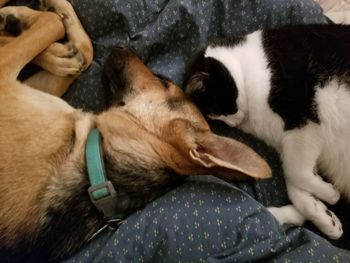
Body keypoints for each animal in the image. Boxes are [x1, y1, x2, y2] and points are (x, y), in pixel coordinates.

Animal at [0, 0, 270, 262]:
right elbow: (84, 53)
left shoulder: (7, 76)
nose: (122, 44)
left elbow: (51, 25)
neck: (98, 170)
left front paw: (24, 23)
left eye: (163, 82)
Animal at [185, 23, 348, 240]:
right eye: (216, 118)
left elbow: (295, 172)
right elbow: (293, 180)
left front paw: (330, 195)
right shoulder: (290, 142)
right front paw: (323, 213)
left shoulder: (303, 122)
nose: (234, 124)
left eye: (220, 109)